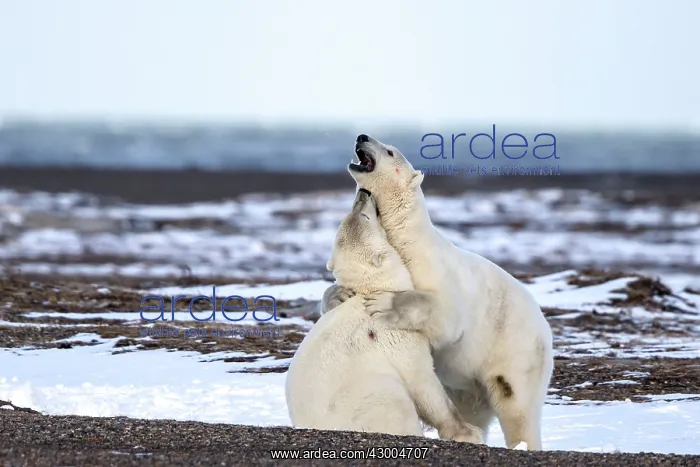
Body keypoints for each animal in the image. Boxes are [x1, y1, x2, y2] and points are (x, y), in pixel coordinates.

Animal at [286, 188, 483, 443]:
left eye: (350, 215)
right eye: (366, 217)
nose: (364, 192)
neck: (371, 289)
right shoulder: (394, 336)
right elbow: (423, 383)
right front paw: (468, 432)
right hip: (372, 395)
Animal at [321, 134, 554, 451]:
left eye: (390, 151)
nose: (362, 137)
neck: (405, 240)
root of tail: (545, 328)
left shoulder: (433, 268)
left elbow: (444, 316)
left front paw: (385, 303)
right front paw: (339, 295)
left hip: (517, 349)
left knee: (515, 402)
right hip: (465, 382)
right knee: (471, 404)